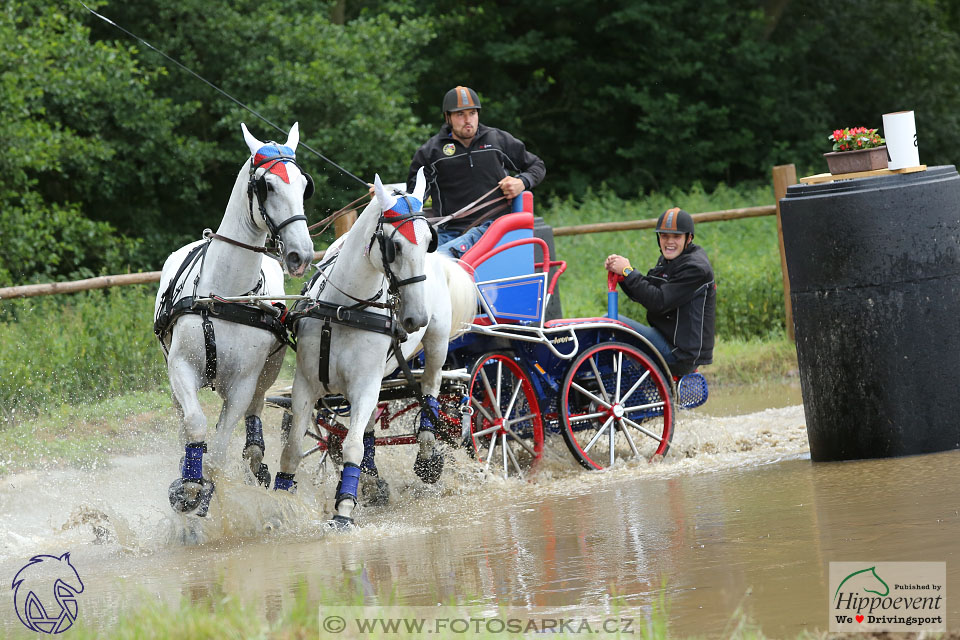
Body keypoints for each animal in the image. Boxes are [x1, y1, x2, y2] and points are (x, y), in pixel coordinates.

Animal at [152, 122, 314, 516]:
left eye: (304, 185)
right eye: (266, 186)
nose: (301, 254)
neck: (224, 297)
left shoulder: (242, 383)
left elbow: (220, 450)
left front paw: (204, 485)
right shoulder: (180, 367)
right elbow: (195, 425)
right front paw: (188, 485)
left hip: (268, 371)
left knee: (255, 410)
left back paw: (256, 456)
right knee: (183, 421)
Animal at [280, 168, 478, 528]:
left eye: (427, 242)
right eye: (393, 246)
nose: (415, 317)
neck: (344, 310)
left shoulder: (364, 384)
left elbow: (352, 447)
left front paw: (343, 510)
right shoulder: (306, 384)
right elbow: (293, 447)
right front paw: (280, 496)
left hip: (435, 344)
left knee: (429, 390)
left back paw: (427, 457)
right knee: (371, 423)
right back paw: (373, 482)